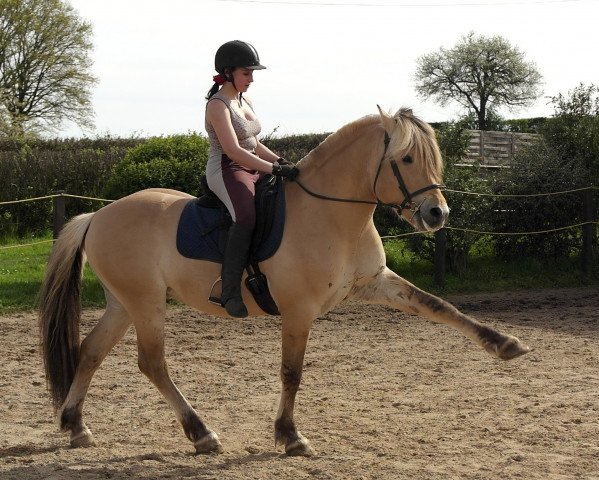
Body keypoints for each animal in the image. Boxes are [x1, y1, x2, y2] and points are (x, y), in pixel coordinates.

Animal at [39, 108, 532, 458]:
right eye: (406, 159)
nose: (437, 214)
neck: (332, 213)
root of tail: (97, 215)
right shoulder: (299, 311)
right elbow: (292, 372)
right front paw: (291, 437)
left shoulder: (375, 283)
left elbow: (438, 306)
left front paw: (505, 344)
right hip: (146, 304)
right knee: (152, 363)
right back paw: (202, 434)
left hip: (124, 303)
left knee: (91, 351)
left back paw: (76, 426)